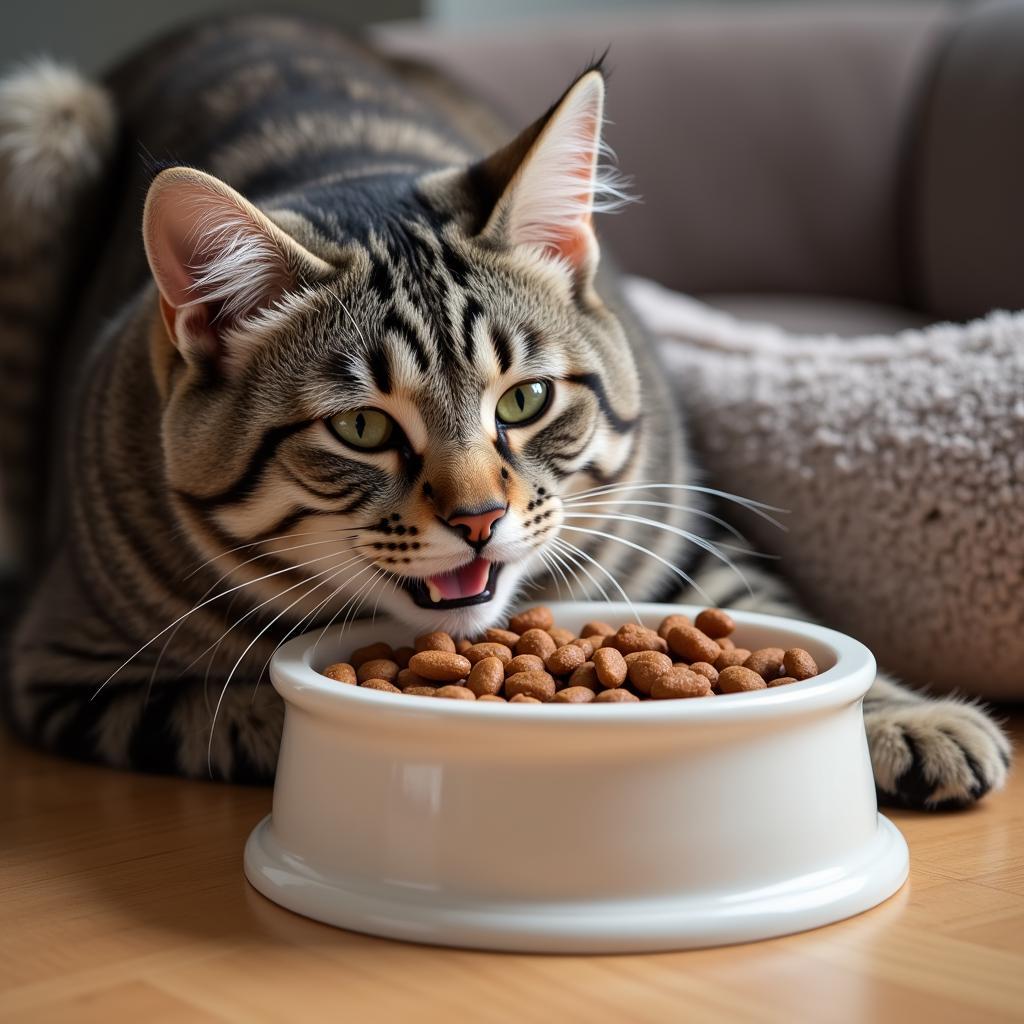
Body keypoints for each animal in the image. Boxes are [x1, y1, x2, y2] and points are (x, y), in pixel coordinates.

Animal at [0, 14, 1007, 798]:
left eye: (524, 400)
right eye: (362, 427)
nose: (480, 519)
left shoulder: (679, 530)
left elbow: (774, 611)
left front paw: (911, 719)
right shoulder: (71, 669)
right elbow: (248, 713)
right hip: (41, 115)